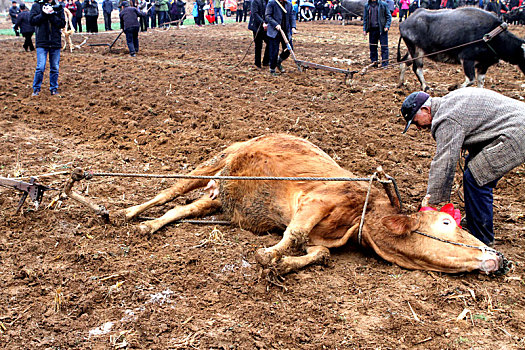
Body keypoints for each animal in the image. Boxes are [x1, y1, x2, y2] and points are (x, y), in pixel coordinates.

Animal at [109, 133, 504, 274]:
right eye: (447, 223)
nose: (497, 257)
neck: (362, 217)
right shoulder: (315, 200)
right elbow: (294, 234)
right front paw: (267, 255)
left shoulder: (323, 237)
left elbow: (320, 252)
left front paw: (285, 264)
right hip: (217, 160)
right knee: (170, 192)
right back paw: (127, 213)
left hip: (216, 197)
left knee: (183, 209)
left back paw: (151, 225)